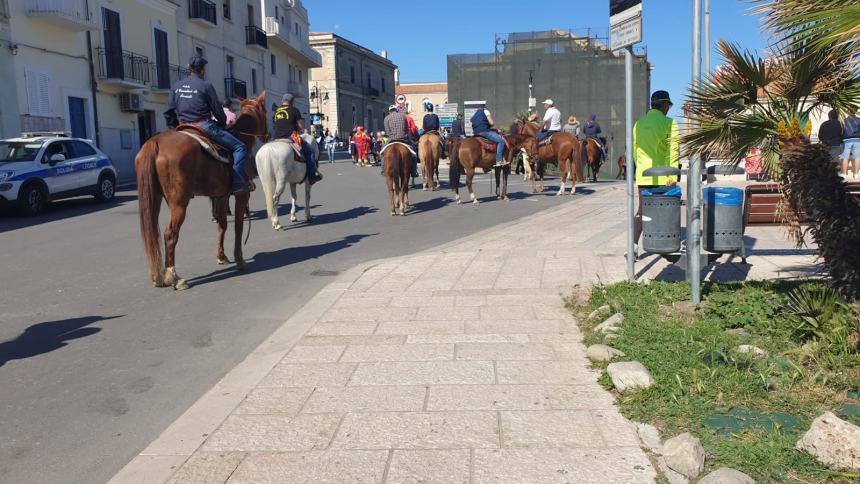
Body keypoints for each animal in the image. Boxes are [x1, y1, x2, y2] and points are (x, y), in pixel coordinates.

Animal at [136, 91, 268, 290]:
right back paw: (174, 277)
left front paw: (221, 256)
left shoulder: (221, 196)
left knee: (153, 233)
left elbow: (222, 225)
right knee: (169, 234)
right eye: (266, 111)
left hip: (155, 199)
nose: (268, 135)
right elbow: (237, 226)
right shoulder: (241, 195)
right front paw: (239, 259)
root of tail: (155, 141)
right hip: (179, 204)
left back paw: (157, 276)